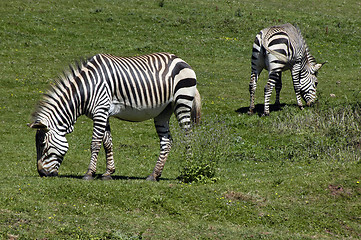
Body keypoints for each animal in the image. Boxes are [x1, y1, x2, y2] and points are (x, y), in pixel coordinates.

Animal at [28, 52, 200, 180]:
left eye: (43, 145)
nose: (42, 174)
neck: (86, 89)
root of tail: (181, 60)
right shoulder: (103, 113)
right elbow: (107, 142)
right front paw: (108, 172)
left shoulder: (100, 110)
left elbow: (95, 143)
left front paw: (89, 173)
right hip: (163, 111)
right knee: (166, 141)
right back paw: (154, 175)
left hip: (182, 102)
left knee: (188, 136)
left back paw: (187, 171)